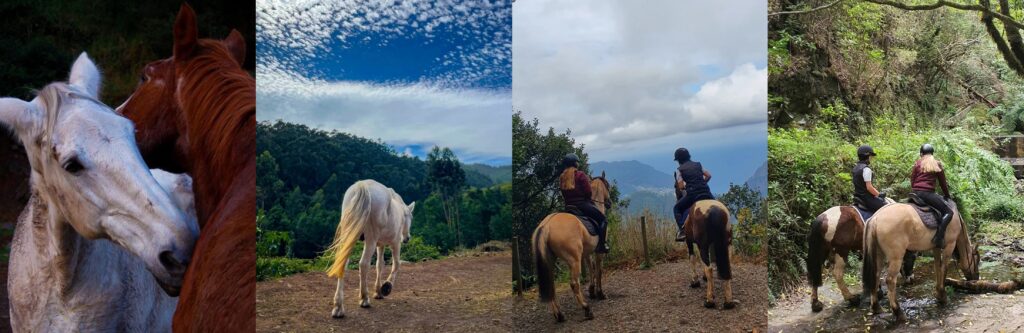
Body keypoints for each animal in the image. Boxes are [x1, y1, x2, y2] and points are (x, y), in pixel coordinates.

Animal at [323, 177, 411, 317]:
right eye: (410, 217)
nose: (407, 238)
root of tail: (362, 186)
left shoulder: (380, 245)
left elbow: (379, 265)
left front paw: (378, 291)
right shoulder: (395, 243)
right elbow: (396, 264)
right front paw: (386, 287)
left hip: (350, 235)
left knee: (343, 264)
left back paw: (338, 306)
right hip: (371, 239)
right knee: (364, 264)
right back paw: (364, 299)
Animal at [532, 174, 610, 321]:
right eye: (607, 185)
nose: (609, 202)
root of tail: (546, 226)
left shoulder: (587, 253)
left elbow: (591, 268)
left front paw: (592, 291)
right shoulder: (598, 252)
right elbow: (599, 270)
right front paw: (600, 293)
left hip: (550, 260)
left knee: (551, 283)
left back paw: (559, 315)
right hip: (574, 260)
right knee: (574, 284)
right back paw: (586, 309)